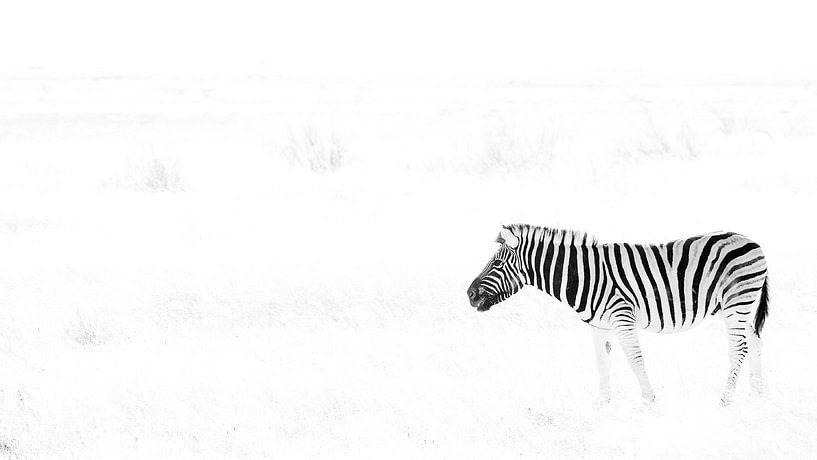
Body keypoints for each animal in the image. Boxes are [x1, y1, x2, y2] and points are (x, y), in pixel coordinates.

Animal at [466, 224, 769, 405]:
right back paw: (756, 395)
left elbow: (635, 359)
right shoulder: (598, 325)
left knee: (739, 348)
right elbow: (602, 362)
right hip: (737, 306)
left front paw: (648, 400)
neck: (584, 275)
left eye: (497, 263)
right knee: (754, 340)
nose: (469, 294)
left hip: (736, 302)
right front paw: (602, 405)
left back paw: (725, 400)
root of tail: (752, 240)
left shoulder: (622, 316)